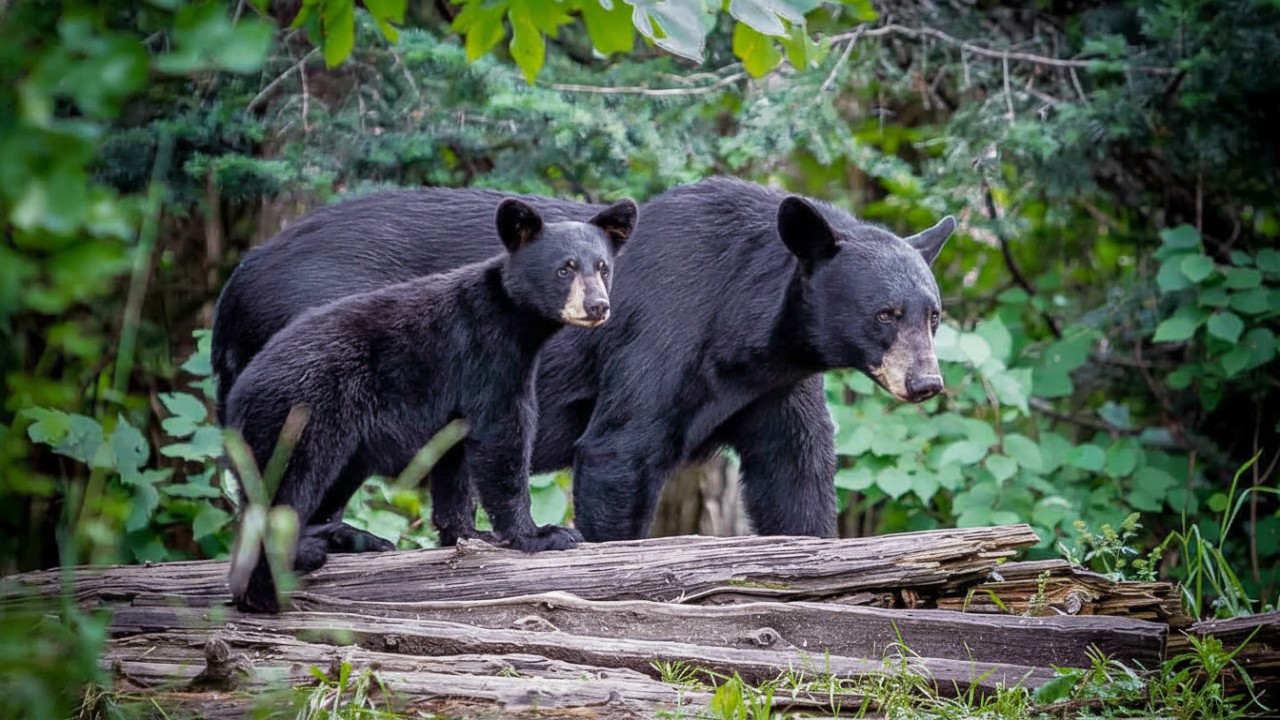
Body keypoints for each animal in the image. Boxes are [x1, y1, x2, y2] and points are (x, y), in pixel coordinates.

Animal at [212, 178, 953, 545]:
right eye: (885, 314)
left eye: (933, 314)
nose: (926, 382)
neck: (746, 324)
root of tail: (234, 284)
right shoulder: (664, 333)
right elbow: (618, 453)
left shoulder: (772, 382)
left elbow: (795, 470)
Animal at [223, 196, 637, 613]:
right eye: (565, 268)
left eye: (603, 267)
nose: (598, 306)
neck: (514, 319)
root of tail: (237, 392)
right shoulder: (486, 354)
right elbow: (502, 436)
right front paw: (541, 534)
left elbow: (454, 458)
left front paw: (470, 534)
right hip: (299, 414)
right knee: (284, 491)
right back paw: (272, 584)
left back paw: (346, 540)